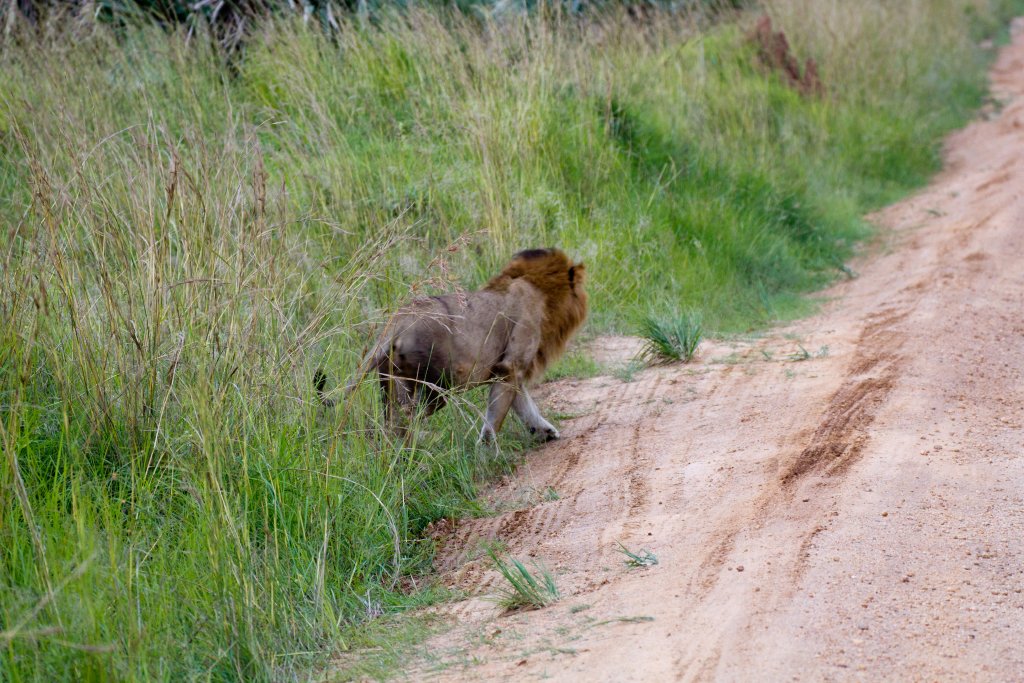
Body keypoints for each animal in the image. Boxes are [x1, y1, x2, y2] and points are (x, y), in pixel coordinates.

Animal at [317, 248, 587, 443]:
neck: (535, 286)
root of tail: (397, 321)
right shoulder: (510, 366)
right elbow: (495, 419)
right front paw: (487, 454)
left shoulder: (508, 371)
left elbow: (525, 407)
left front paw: (544, 431)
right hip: (437, 386)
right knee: (408, 418)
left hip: (393, 381)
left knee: (392, 422)